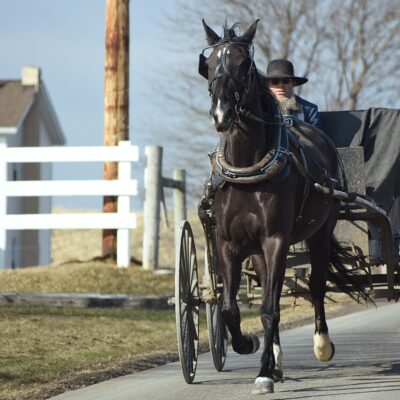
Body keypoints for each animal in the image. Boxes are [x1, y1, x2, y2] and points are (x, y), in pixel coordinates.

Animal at [199, 19, 368, 394]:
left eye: (244, 64)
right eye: (209, 64)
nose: (220, 113)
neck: (248, 167)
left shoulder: (276, 239)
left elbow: (268, 309)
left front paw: (263, 372)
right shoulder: (229, 244)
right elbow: (230, 307)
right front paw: (248, 345)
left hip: (319, 233)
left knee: (316, 286)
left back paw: (321, 345)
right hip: (260, 251)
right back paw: (275, 361)